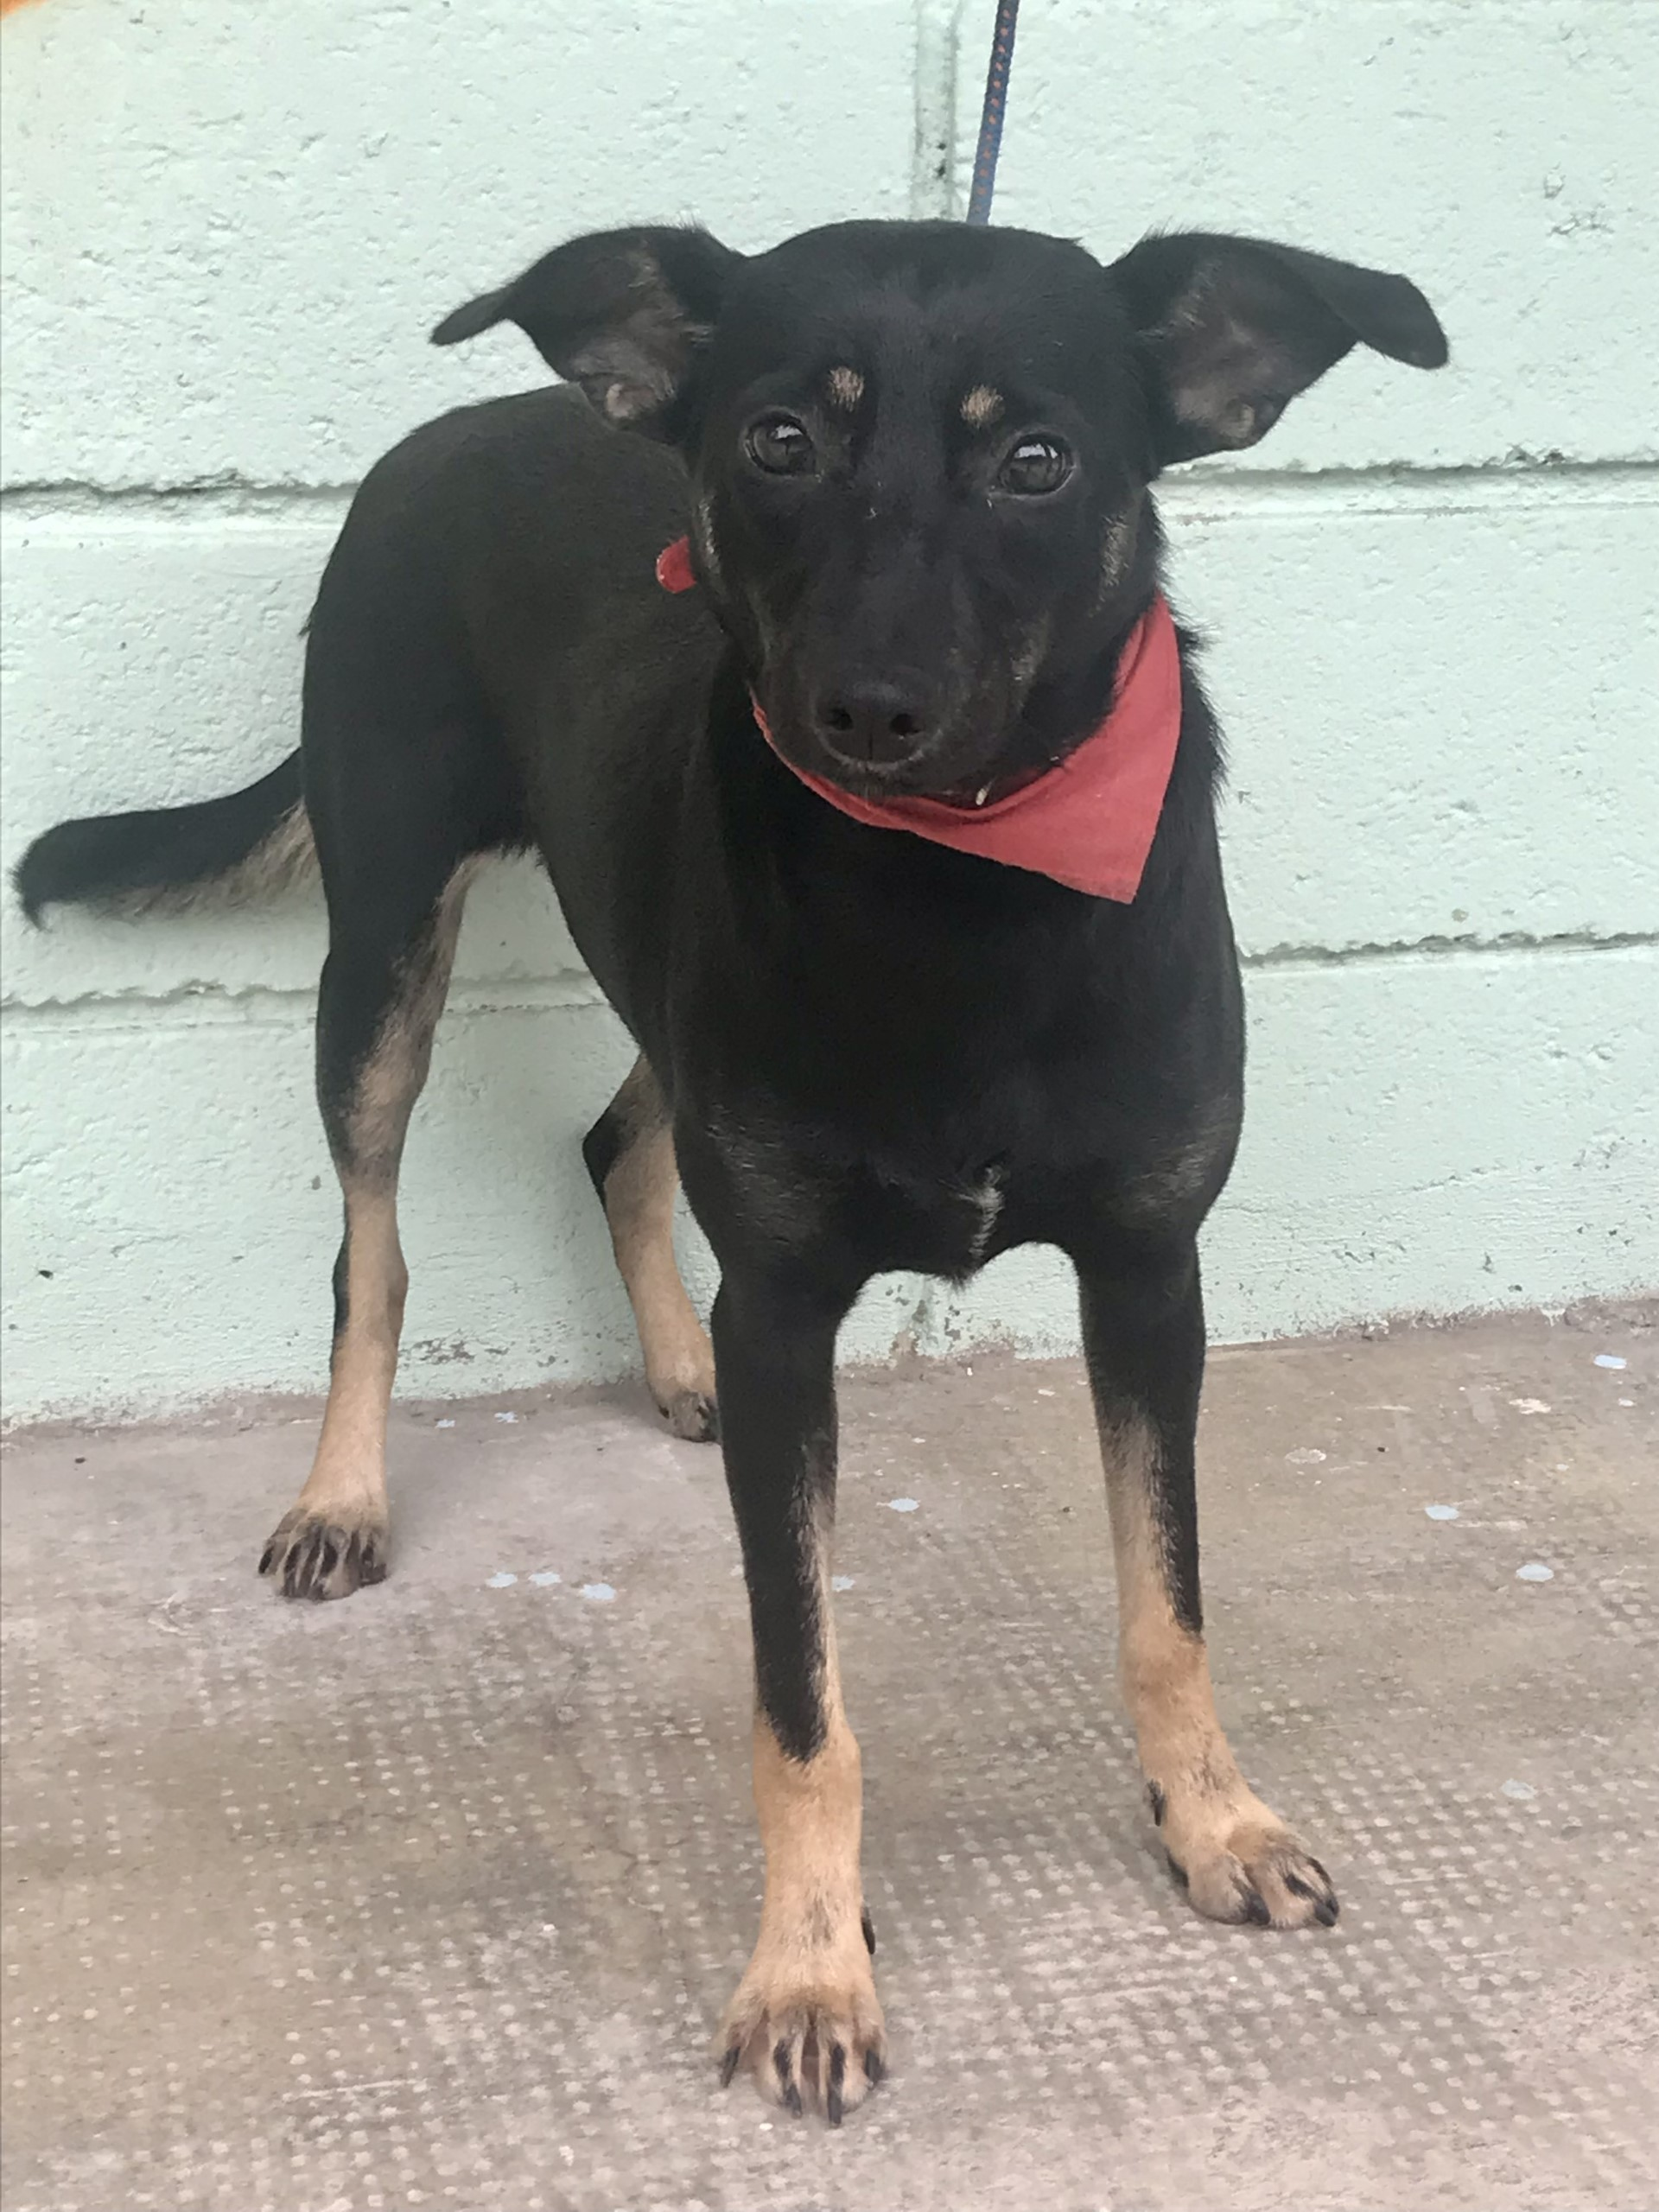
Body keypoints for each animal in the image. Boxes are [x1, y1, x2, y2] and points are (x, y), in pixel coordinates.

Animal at [19, 215, 1451, 2114]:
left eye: (1039, 458)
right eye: (779, 440)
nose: (870, 715)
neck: (957, 891)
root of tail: (466, 423)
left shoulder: (1151, 1275)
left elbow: (1169, 1606)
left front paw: (1213, 1818)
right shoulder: (787, 1306)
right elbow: (803, 1702)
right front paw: (810, 1969)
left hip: (653, 967)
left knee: (616, 1135)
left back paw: (670, 1366)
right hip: (383, 942)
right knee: (374, 1242)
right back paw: (345, 1492)